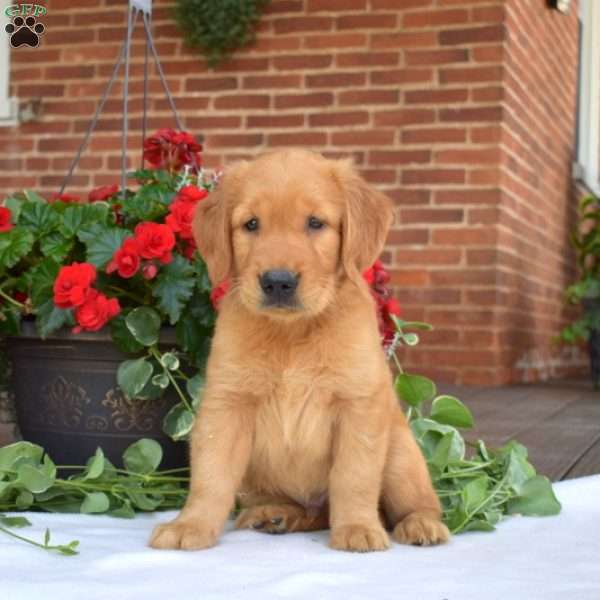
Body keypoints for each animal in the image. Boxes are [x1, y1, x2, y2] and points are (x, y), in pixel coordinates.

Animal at [150, 150, 450, 552]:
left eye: (315, 223)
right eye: (251, 224)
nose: (278, 282)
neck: (291, 334)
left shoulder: (358, 406)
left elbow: (353, 477)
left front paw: (357, 527)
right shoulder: (226, 405)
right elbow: (210, 475)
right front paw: (190, 524)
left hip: (401, 454)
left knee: (421, 502)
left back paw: (420, 524)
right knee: (308, 512)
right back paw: (278, 515)